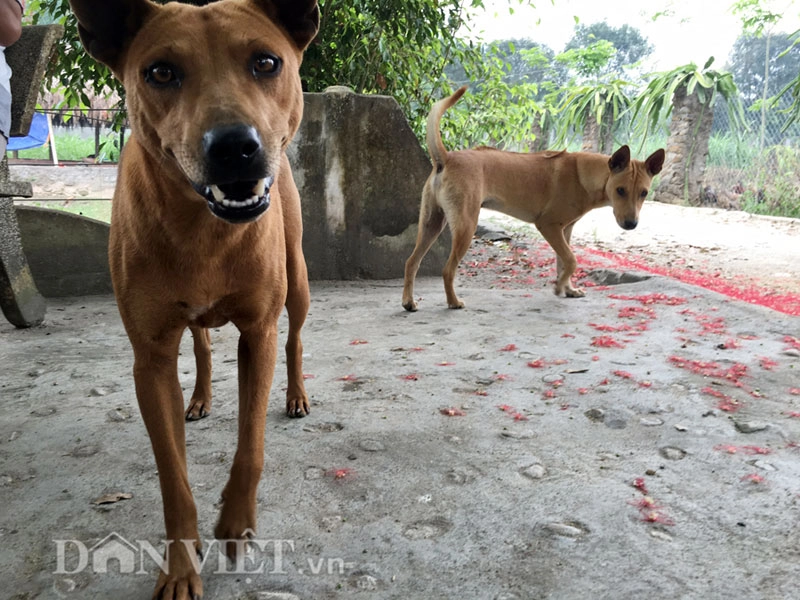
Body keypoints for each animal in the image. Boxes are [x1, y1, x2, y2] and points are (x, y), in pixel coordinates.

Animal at [68, 0, 318, 596]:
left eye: (266, 61)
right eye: (160, 72)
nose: (234, 148)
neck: (205, 231)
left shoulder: (259, 332)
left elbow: (251, 442)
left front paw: (236, 521)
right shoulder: (151, 357)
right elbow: (172, 477)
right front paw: (181, 566)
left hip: (298, 279)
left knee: (295, 338)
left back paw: (296, 394)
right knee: (202, 345)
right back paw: (201, 397)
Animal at [404, 86, 664, 312]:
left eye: (644, 193)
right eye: (620, 190)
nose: (631, 225)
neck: (585, 175)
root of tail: (447, 158)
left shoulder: (565, 230)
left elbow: (563, 261)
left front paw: (568, 288)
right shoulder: (548, 226)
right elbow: (571, 260)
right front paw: (559, 287)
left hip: (431, 224)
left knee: (411, 262)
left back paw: (408, 301)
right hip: (466, 226)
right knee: (447, 270)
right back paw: (453, 302)